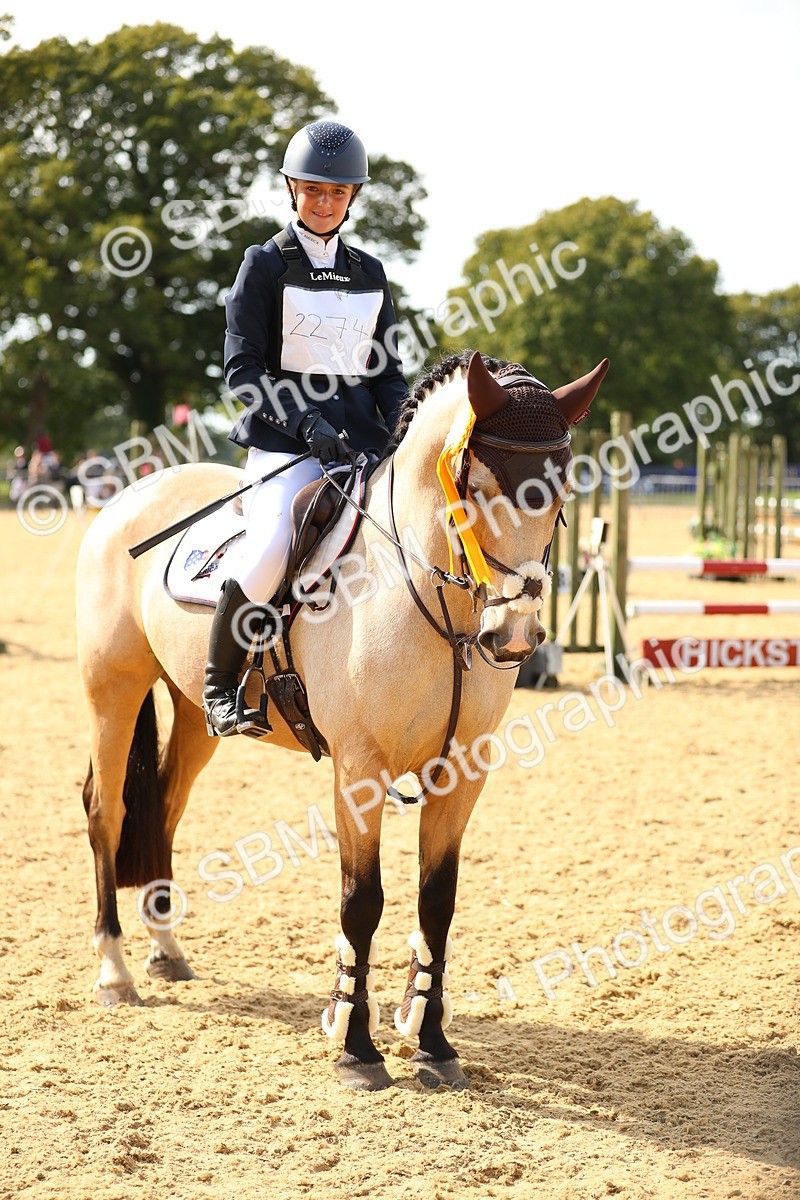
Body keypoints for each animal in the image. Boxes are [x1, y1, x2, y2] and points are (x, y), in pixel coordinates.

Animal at [76, 349, 608, 1091]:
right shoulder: (360, 770)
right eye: (475, 489)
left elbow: (436, 901)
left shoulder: (462, 771)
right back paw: (115, 970)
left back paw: (165, 949)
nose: (515, 636)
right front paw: (357, 1047)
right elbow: (363, 901)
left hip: (189, 712)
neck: (423, 595)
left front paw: (432, 1041)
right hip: (113, 690)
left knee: (164, 808)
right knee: (108, 811)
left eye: (559, 495)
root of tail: (132, 493)